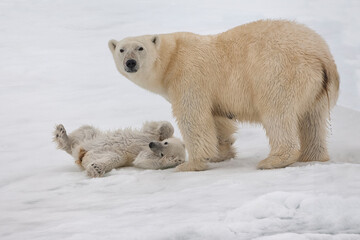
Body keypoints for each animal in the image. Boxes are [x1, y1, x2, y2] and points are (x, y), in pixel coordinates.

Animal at [108, 20, 338, 171]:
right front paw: (221, 153)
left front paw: (191, 164)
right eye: (121, 50)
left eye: (140, 48)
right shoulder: (212, 93)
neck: (171, 59)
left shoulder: (189, 76)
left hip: (278, 72)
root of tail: (321, 55)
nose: (130, 63)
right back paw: (312, 156)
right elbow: (217, 119)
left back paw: (274, 160)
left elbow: (194, 118)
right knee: (312, 119)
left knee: (277, 113)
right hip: (317, 88)